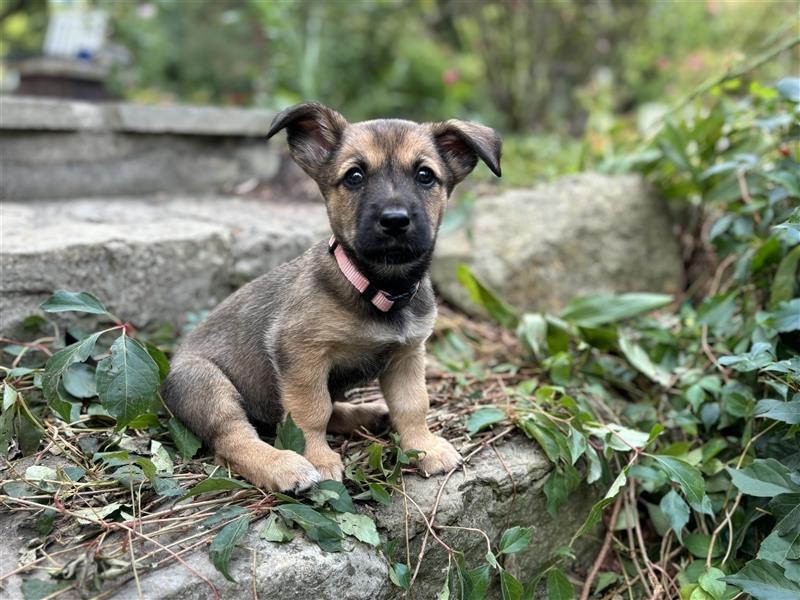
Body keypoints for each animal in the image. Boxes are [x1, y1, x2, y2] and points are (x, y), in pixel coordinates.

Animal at [161, 101, 500, 490]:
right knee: (233, 440)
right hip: (207, 385)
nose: (395, 220)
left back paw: (366, 414)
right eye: (354, 176)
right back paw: (282, 465)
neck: (375, 288)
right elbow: (310, 413)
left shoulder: (407, 355)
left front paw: (424, 447)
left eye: (425, 175)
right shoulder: (301, 356)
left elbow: (413, 406)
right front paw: (319, 459)